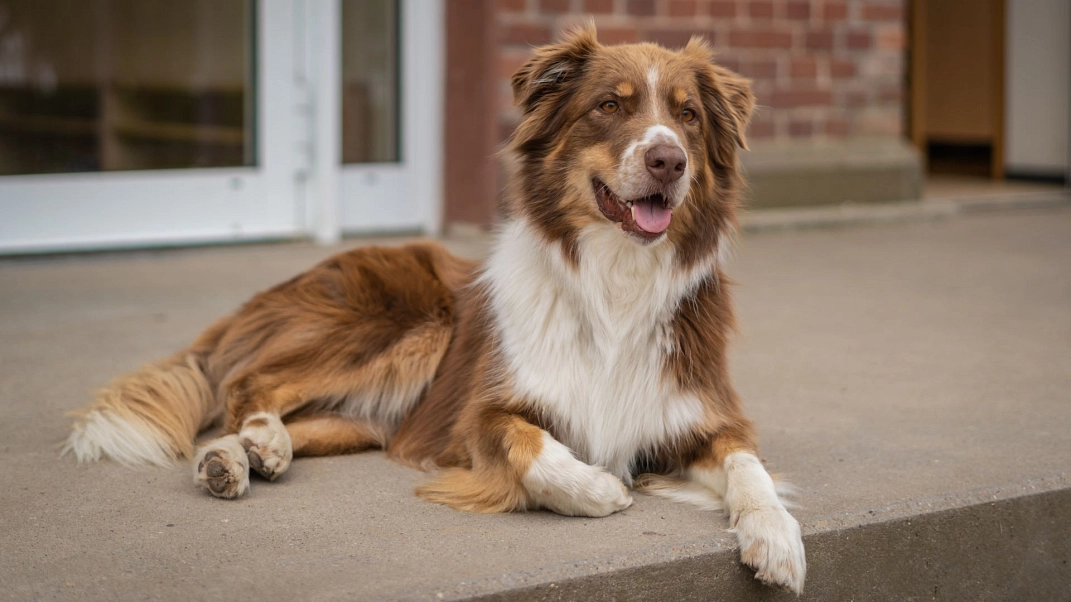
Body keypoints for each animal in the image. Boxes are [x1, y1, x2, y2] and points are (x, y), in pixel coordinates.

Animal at [62, 26, 805, 591]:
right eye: (608, 106)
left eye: (687, 115)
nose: (667, 160)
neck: (615, 282)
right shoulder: (478, 415)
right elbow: (537, 449)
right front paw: (602, 489)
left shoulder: (704, 414)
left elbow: (749, 467)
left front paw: (776, 537)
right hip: (409, 323)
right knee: (247, 382)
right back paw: (255, 443)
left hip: (375, 413)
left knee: (271, 420)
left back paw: (239, 456)